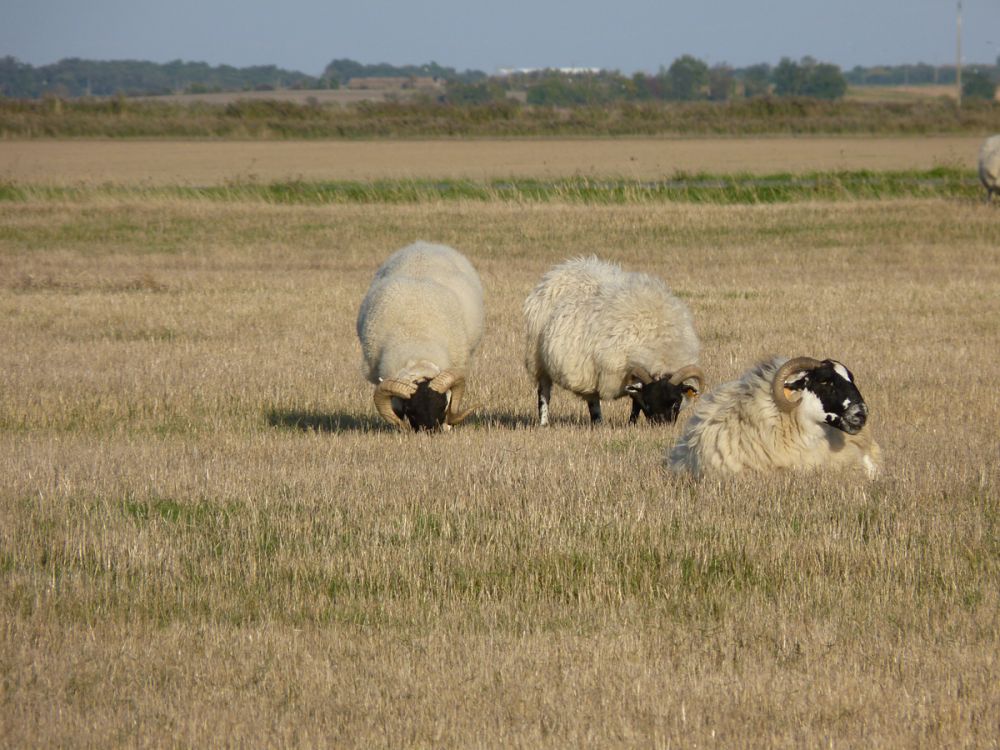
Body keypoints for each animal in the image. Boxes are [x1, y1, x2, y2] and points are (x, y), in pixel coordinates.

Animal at [524, 258, 704, 426]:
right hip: (538, 358)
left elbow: (635, 402)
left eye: (676, 403)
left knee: (592, 397)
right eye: (648, 402)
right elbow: (636, 401)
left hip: (589, 368)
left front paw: (631, 423)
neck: (660, 346)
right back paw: (544, 422)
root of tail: (559, 271)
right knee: (544, 392)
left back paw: (598, 422)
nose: (660, 426)